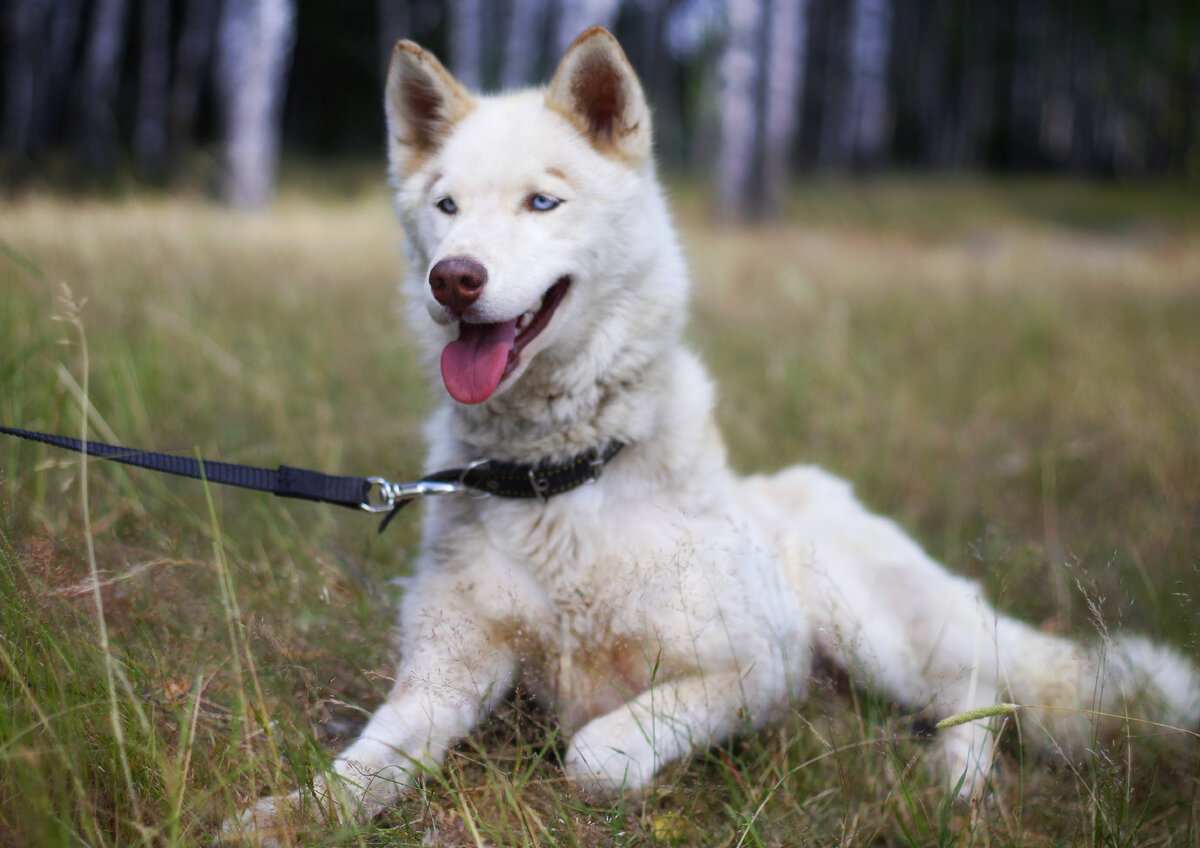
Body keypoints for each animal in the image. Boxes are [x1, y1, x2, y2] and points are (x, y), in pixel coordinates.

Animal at [229, 28, 1195, 844]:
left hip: (867, 632)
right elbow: (359, 769)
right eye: (446, 207)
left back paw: (952, 788)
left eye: (543, 201)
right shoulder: (437, 680)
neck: (558, 480)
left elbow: (597, 753)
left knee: (982, 692)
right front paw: (281, 815)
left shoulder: (757, 668)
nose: (454, 278)